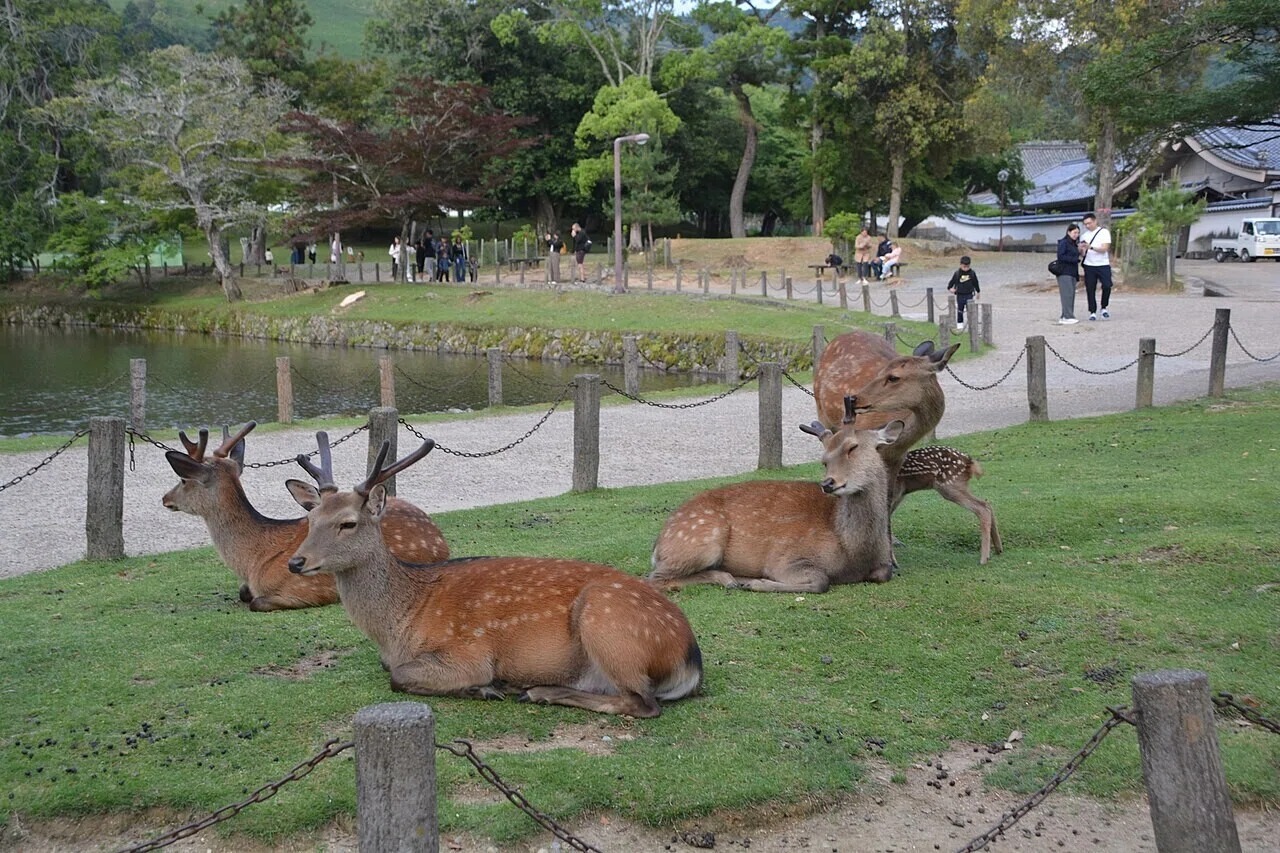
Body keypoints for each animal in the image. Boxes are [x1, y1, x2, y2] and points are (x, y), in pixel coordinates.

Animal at [162, 422, 449, 612]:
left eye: (183, 479)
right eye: (309, 520)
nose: (165, 498)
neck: (253, 561)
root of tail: (439, 537)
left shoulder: (304, 592)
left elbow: (256, 601)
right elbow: (244, 592)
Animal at [284, 433, 703, 718]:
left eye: (348, 523)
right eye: (310, 519)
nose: (296, 563)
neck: (398, 626)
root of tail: (691, 658)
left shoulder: (467, 653)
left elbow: (399, 676)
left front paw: (483, 688)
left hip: (607, 623)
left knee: (642, 702)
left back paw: (538, 692)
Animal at [649, 396, 905, 592]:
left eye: (853, 447)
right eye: (824, 459)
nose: (828, 483)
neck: (855, 551)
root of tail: (658, 544)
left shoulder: (884, 563)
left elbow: (884, 573)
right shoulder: (785, 558)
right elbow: (821, 581)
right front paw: (758, 583)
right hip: (700, 541)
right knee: (656, 578)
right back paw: (731, 579)